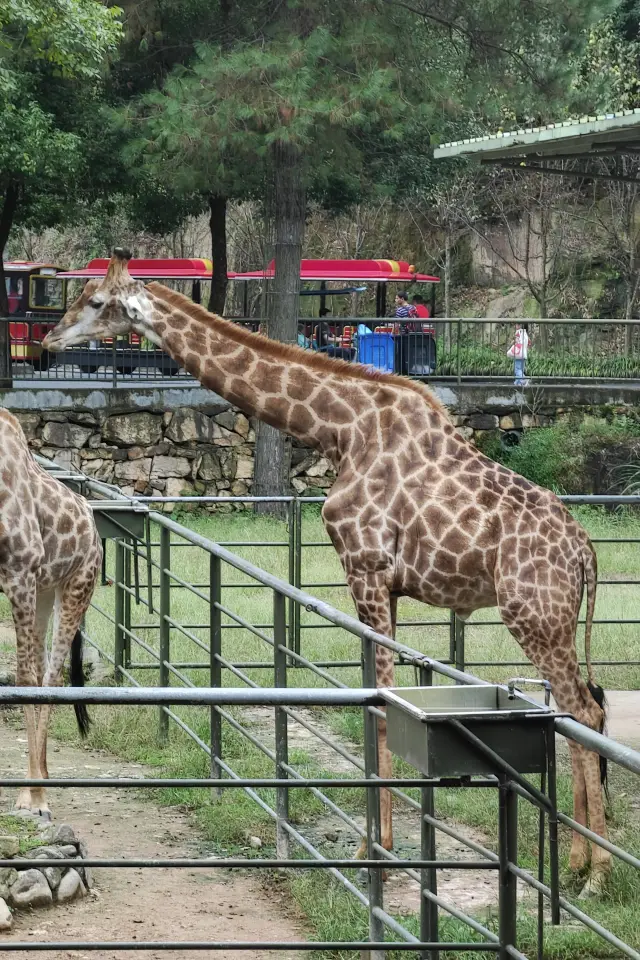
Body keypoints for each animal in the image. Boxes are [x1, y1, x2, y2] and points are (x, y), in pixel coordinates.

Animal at [0, 408, 102, 812]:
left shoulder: (19, 573)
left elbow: (25, 680)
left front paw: (34, 800)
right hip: (43, 591)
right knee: (43, 667)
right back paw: (40, 772)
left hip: (76, 585)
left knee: (50, 677)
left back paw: (38, 787)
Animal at [43, 251, 608, 896]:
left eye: (93, 301)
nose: (48, 339)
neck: (338, 431)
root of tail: (586, 552)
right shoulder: (380, 583)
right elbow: (369, 700)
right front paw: (373, 844)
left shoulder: (367, 568)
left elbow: (380, 707)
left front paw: (375, 852)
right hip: (552, 617)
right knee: (580, 710)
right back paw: (576, 864)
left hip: (533, 612)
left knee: (586, 712)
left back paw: (595, 875)